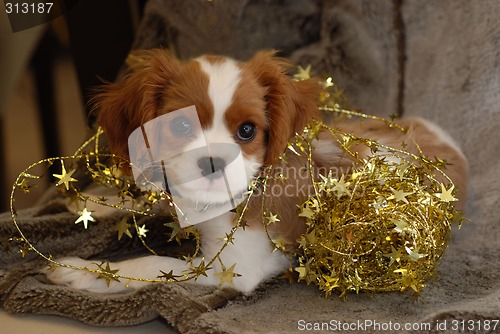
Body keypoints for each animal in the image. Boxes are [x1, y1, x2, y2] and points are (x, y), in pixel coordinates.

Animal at [44, 50, 468, 294]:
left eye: (247, 130)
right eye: (180, 125)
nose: (213, 162)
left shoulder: (230, 269)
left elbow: (150, 265)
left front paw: (82, 271)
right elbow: (154, 203)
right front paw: (95, 204)